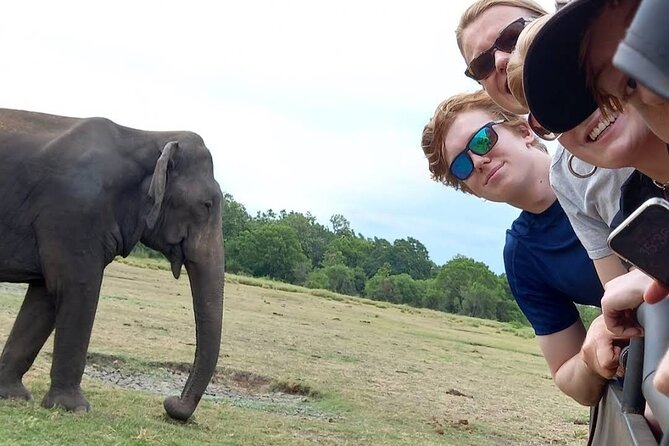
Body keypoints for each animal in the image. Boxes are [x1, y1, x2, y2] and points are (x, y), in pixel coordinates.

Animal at [0, 108, 224, 421]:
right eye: (206, 205)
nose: (171, 404)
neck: (147, 135)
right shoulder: (75, 212)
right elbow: (77, 288)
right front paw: (75, 408)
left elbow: (44, 296)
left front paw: (13, 396)